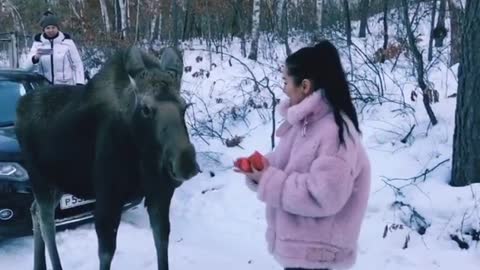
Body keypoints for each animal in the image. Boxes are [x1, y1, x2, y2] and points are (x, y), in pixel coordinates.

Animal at [14, 47, 199, 270]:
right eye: (146, 108)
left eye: (184, 106)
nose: (186, 162)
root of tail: (19, 107)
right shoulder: (108, 196)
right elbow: (106, 252)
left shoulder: (160, 194)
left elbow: (162, 243)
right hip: (40, 178)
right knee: (46, 219)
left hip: (59, 182)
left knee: (34, 211)